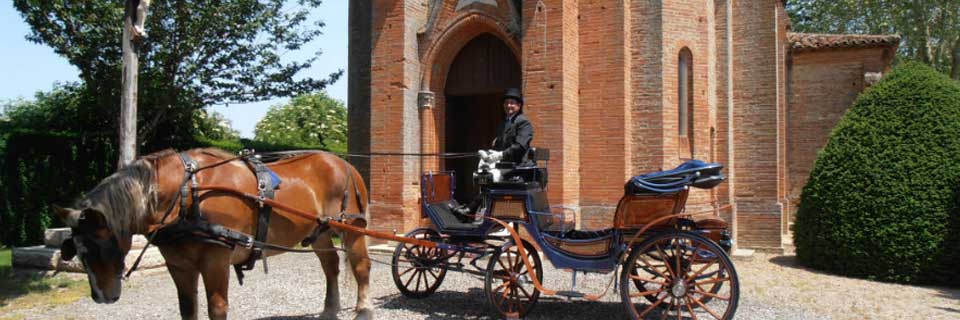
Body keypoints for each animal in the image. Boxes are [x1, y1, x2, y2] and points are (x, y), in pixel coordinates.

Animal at [52, 149, 376, 318]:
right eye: (75, 251)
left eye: (97, 247)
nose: (101, 297)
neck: (187, 194)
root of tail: (342, 162)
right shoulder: (179, 265)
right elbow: (187, 308)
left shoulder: (216, 260)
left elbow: (216, 308)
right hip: (319, 231)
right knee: (331, 267)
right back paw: (330, 310)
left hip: (352, 228)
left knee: (361, 267)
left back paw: (364, 308)